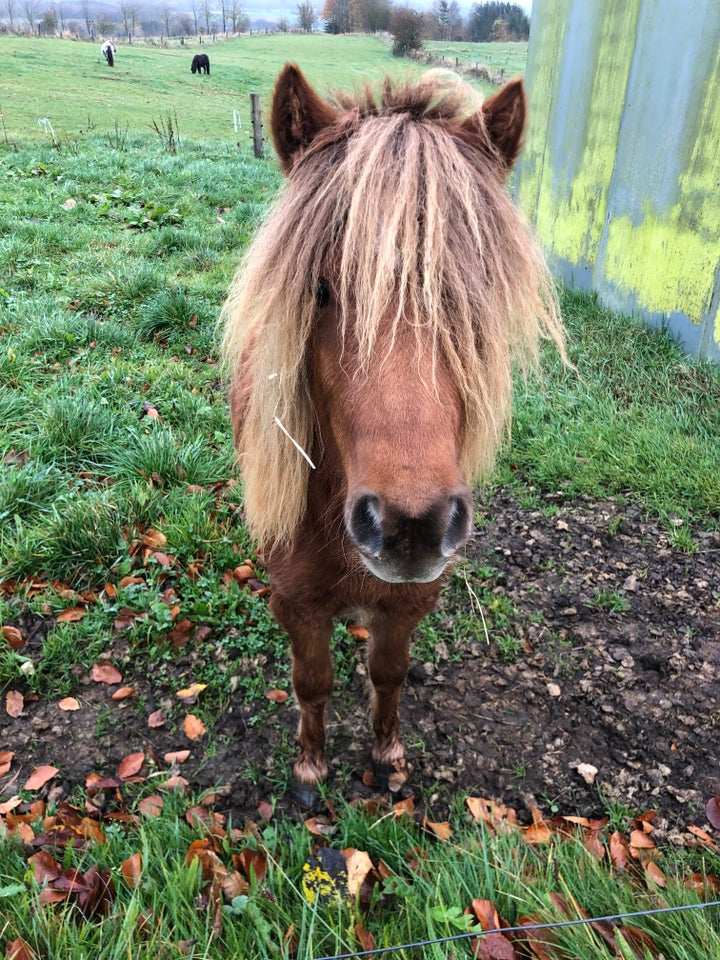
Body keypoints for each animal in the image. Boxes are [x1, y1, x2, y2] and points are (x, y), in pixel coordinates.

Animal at [221, 63, 564, 808]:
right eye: (320, 290)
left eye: (477, 294)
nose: (411, 526)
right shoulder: (296, 603)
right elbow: (312, 683)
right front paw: (310, 769)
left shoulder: (409, 601)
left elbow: (389, 675)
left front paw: (386, 756)